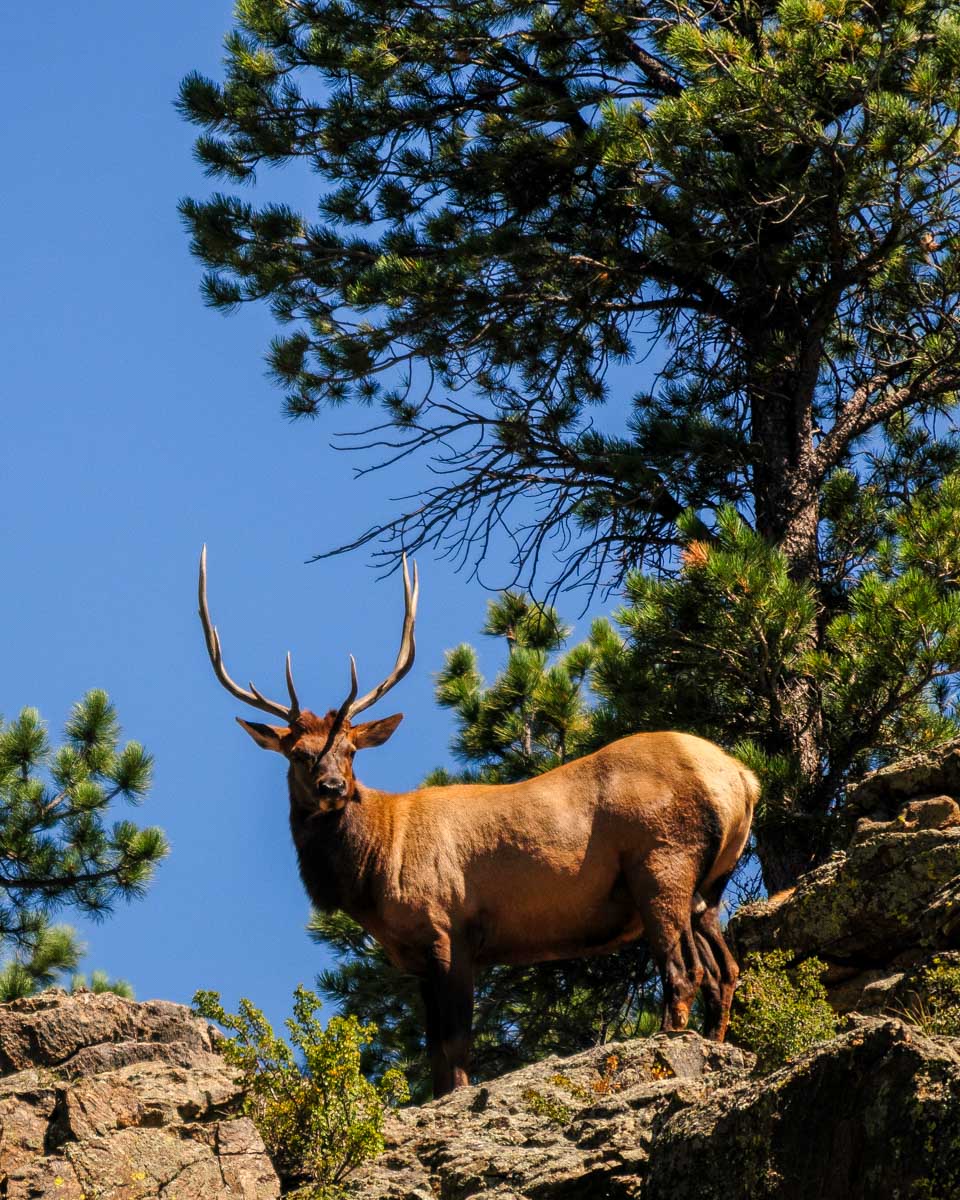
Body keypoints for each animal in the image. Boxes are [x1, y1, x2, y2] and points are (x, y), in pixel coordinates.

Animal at [199, 547, 758, 1097]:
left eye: (351, 751)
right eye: (298, 754)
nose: (333, 789)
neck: (376, 868)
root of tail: (741, 779)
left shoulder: (450, 928)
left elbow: (455, 1045)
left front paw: (460, 1095)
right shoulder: (419, 957)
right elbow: (432, 1052)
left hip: (661, 861)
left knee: (684, 969)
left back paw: (667, 1050)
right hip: (712, 884)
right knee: (724, 970)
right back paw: (716, 1046)